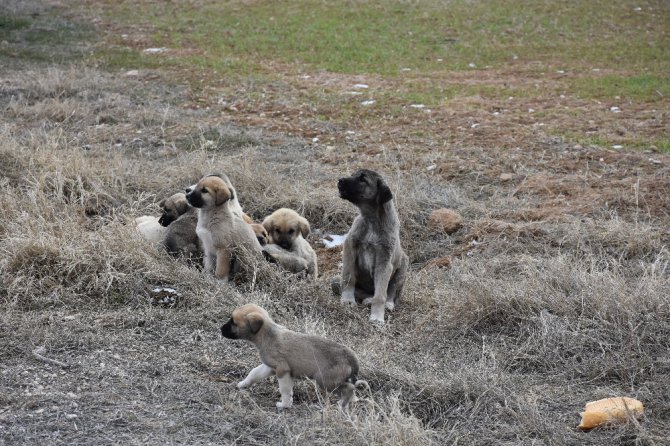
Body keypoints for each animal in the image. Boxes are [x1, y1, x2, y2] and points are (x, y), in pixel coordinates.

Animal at [222, 304, 368, 408]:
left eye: (234, 322)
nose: (220, 329)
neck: (267, 335)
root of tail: (351, 357)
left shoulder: (282, 370)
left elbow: (285, 390)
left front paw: (285, 405)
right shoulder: (269, 367)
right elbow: (253, 373)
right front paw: (243, 384)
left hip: (324, 380)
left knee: (349, 388)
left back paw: (343, 404)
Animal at [334, 169, 410, 322]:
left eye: (363, 179)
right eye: (353, 174)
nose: (340, 180)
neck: (372, 221)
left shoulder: (384, 262)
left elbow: (380, 294)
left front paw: (377, 317)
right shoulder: (350, 248)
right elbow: (348, 277)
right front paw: (347, 300)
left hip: (403, 265)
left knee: (391, 291)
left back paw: (386, 304)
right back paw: (366, 299)